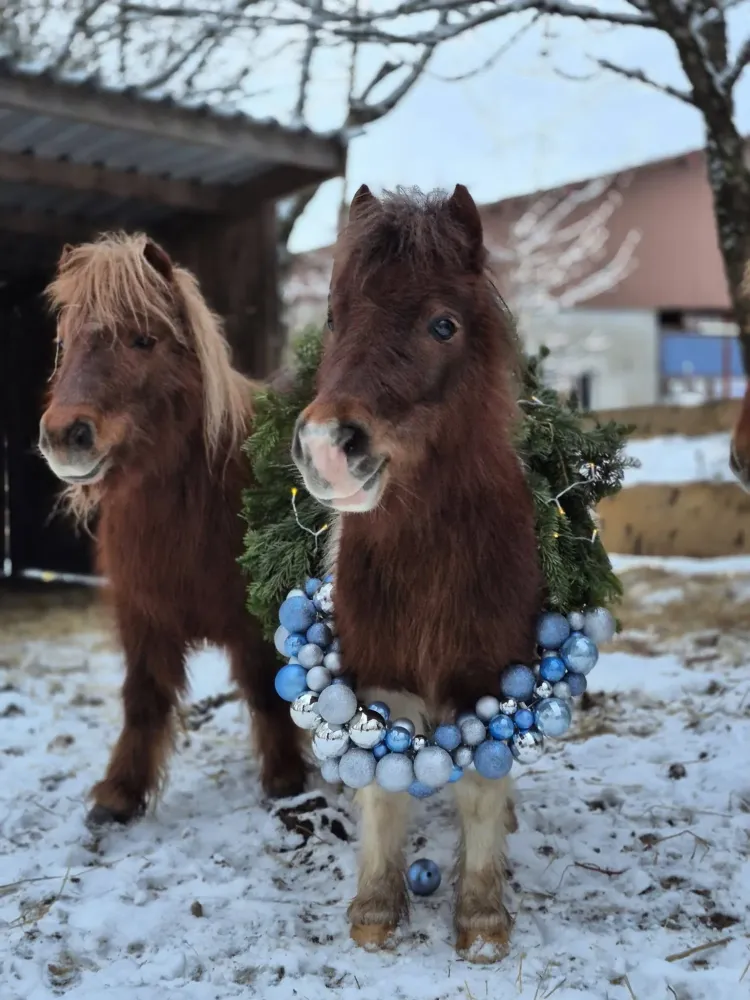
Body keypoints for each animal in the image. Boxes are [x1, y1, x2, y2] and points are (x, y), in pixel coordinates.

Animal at [38, 233, 307, 829]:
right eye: (64, 342)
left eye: (144, 339)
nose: (66, 435)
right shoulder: (141, 617)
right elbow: (143, 699)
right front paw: (119, 794)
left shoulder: (255, 618)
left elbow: (266, 689)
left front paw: (285, 778)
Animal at [291, 184, 544, 961]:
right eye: (335, 316)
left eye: (443, 325)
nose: (328, 446)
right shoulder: (379, 672)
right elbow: (383, 786)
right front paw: (376, 910)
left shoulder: (487, 675)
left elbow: (483, 791)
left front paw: (482, 920)